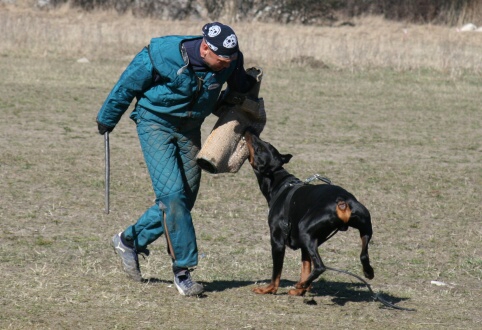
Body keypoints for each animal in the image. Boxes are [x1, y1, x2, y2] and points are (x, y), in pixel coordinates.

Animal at [243, 131, 374, 296]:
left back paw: (300, 284)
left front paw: (269, 289)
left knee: (320, 266)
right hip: (365, 227)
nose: (249, 131)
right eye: (264, 142)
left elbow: (276, 272)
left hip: (304, 230)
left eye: (258, 148)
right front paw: (301, 290)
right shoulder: (306, 244)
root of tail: (343, 201)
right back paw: (368, 272)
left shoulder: (277, 240)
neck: (279, 183)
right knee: (363, 255)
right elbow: (305, 266)